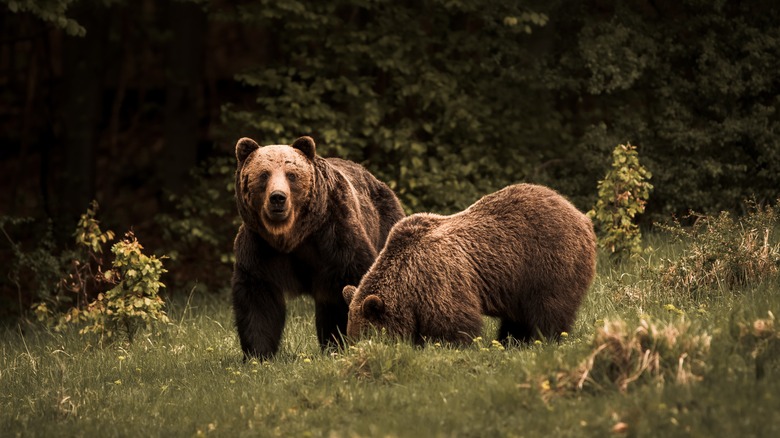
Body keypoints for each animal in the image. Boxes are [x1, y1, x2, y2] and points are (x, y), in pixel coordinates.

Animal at [232, 137, 406, 360]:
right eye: (264, 174)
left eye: (291, 175)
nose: (278, 197)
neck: (293, 236)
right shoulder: (260, 248)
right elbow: (258, 299)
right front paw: (258, 354)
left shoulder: (334, 238)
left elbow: (345, 288)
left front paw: (338, 343)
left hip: (384, 225)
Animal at [342, 184, 596, 346]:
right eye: (351, 336)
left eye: (365, 336)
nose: (357, 350)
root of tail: (581, 215)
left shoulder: (438, 280)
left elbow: (454, 322)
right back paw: (510, 341)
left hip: (548, 262)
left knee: (549, 308)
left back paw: (543, 340)